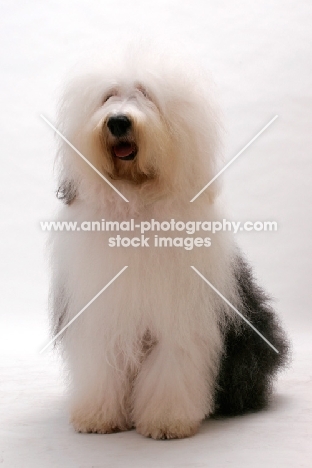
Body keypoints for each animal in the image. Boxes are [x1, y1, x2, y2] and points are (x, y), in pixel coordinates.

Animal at [50, 50, 288, 438]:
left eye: (146, 95)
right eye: (108, 96)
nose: (118, 122)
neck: (135, 201)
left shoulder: (180, 317)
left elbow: (172, 365)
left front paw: (166, 421)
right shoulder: (102, 313)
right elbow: (102, 363)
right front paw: (98, 417)